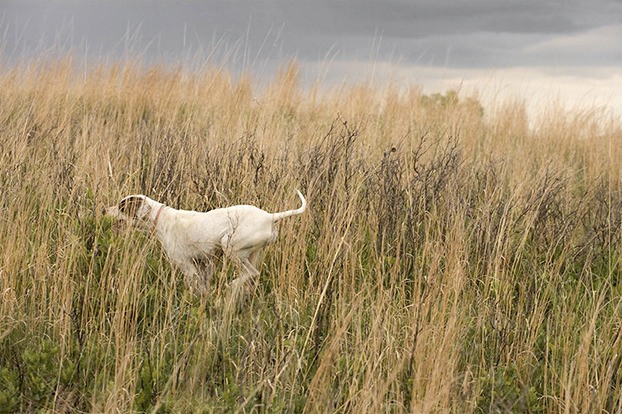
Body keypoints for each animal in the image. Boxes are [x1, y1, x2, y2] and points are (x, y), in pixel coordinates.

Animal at [106, 191, 308, 294]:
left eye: (121, 206)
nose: (103, 210)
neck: (161, 219)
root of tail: (269, 216)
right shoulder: (204, 264)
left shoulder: (187, 266)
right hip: (251, 253)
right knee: (253, 275)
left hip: (229, 245)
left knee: (252, 273)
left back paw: (233, 285)